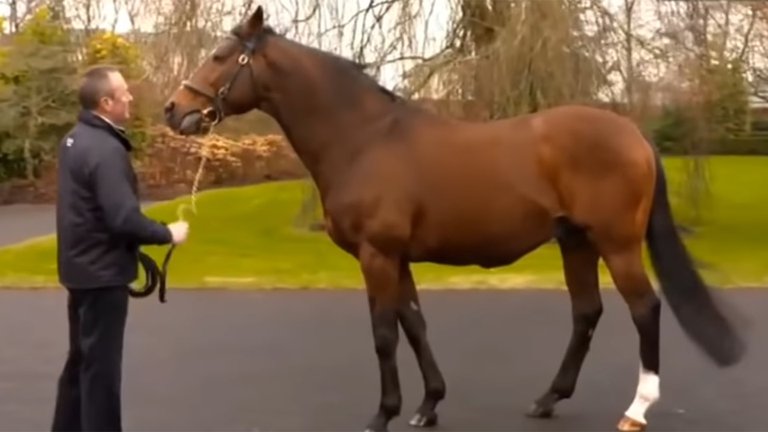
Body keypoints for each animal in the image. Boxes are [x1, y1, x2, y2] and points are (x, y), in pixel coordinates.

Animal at [162, 5, 744, 430]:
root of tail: (633, 133)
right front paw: (427, 406)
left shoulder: (377, 255)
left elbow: (383, 332)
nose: (173, 110)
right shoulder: (397, 257)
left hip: (617, 243)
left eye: (219, 55)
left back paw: (636, 410)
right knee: (587, 314)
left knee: (644, 309)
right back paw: (547, 399)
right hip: (575, 242)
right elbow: (414, 323)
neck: (364, 139)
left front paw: (383, 414)